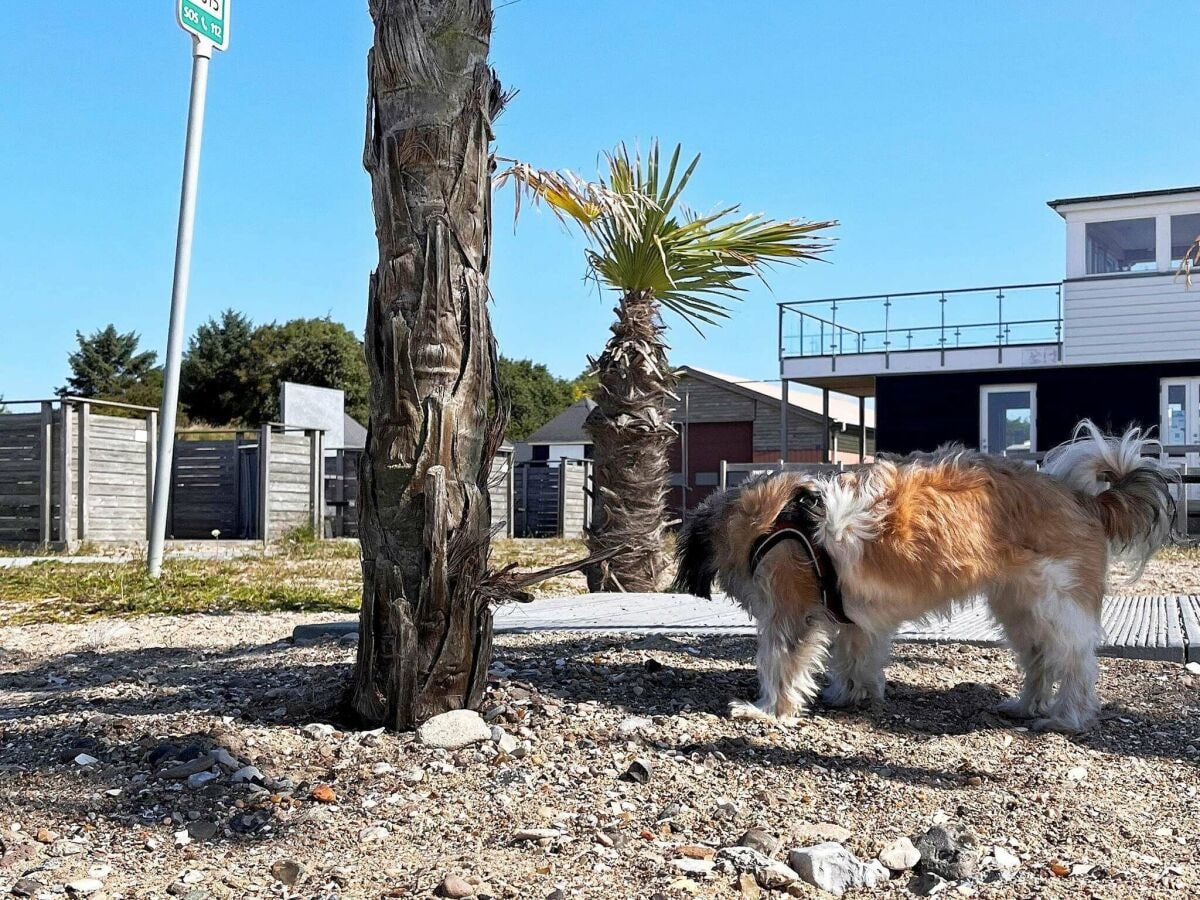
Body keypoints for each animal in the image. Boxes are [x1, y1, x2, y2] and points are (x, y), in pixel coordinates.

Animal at [672, 422, 1176, 734]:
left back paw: (1065, 718)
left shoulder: (788, 612)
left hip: (1055, 607)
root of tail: (1083, 499)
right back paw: (1023, 705)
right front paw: (849, 694)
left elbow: (778, 662)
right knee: (1038, 660)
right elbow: (855, 657)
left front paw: (765, 712)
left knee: (1073, 664)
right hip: (1019, 609)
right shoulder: (853, 618)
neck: (772, 520)